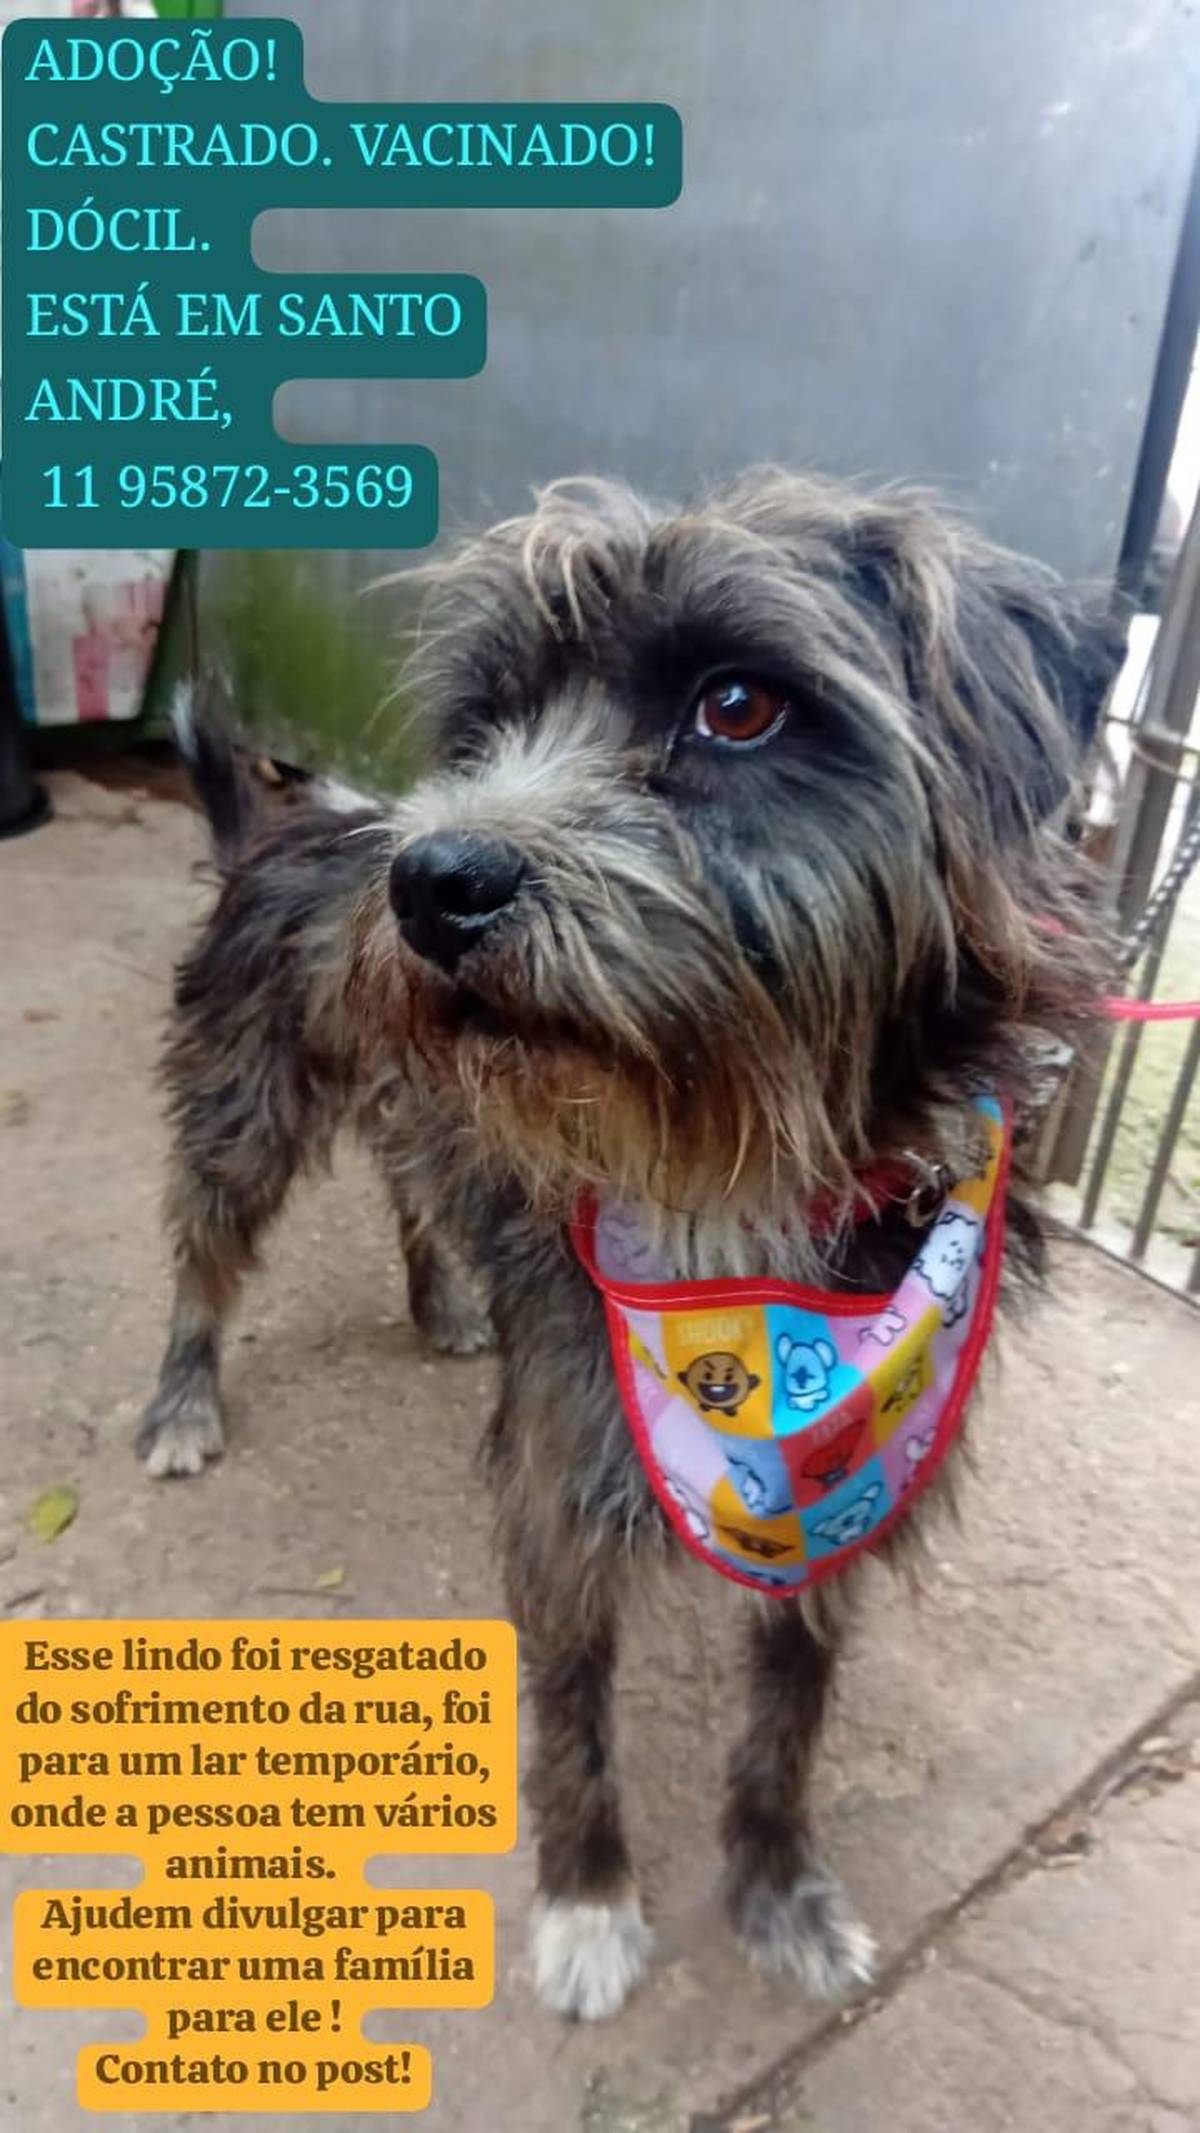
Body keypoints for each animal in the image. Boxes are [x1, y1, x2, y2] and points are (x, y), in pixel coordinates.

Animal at [141, 471, 1120, 2020]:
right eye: (485, 724)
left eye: (739, 706)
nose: (431, 880)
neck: (744, 1186)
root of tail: (287, 826)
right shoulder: (563, 1476)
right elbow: (572, 1719)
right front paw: (590, 1905)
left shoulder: (842, 1496)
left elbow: (788, 1721)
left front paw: (779, 1894)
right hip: (249, 1108)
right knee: (204, 1252)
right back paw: (183, 1399)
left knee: (415, 1184)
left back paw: (442, 1303)